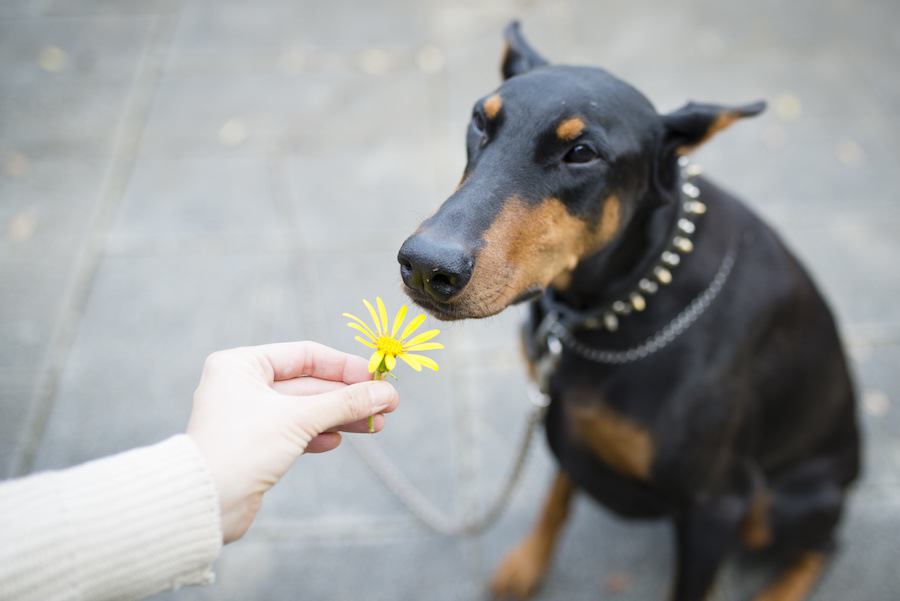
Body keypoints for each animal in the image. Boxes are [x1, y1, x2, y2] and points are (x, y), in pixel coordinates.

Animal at [398, 22, 860, 600]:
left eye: (582, 152)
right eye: (481, 120)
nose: (425, 265)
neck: (608, 304)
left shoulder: (715, 504)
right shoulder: (562, 410)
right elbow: (556, 497)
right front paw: (527, 564)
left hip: (782, 502)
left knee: (823, 546)